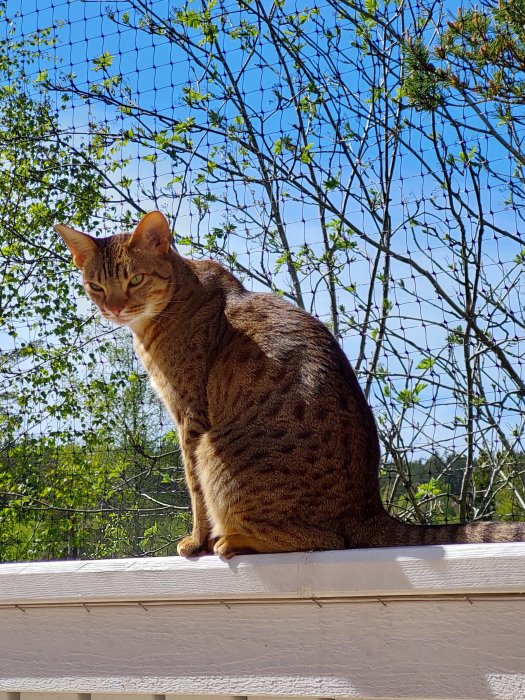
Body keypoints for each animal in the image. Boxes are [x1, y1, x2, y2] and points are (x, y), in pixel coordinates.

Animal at [56, 211, 524, 556]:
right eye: (96, 286)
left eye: (134, 279)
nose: (115, 308)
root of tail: (369, 508)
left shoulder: (189, 417)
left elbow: (194, 492)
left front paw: (196, 541)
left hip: (215, 451)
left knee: (324, 540)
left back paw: (232, 540)